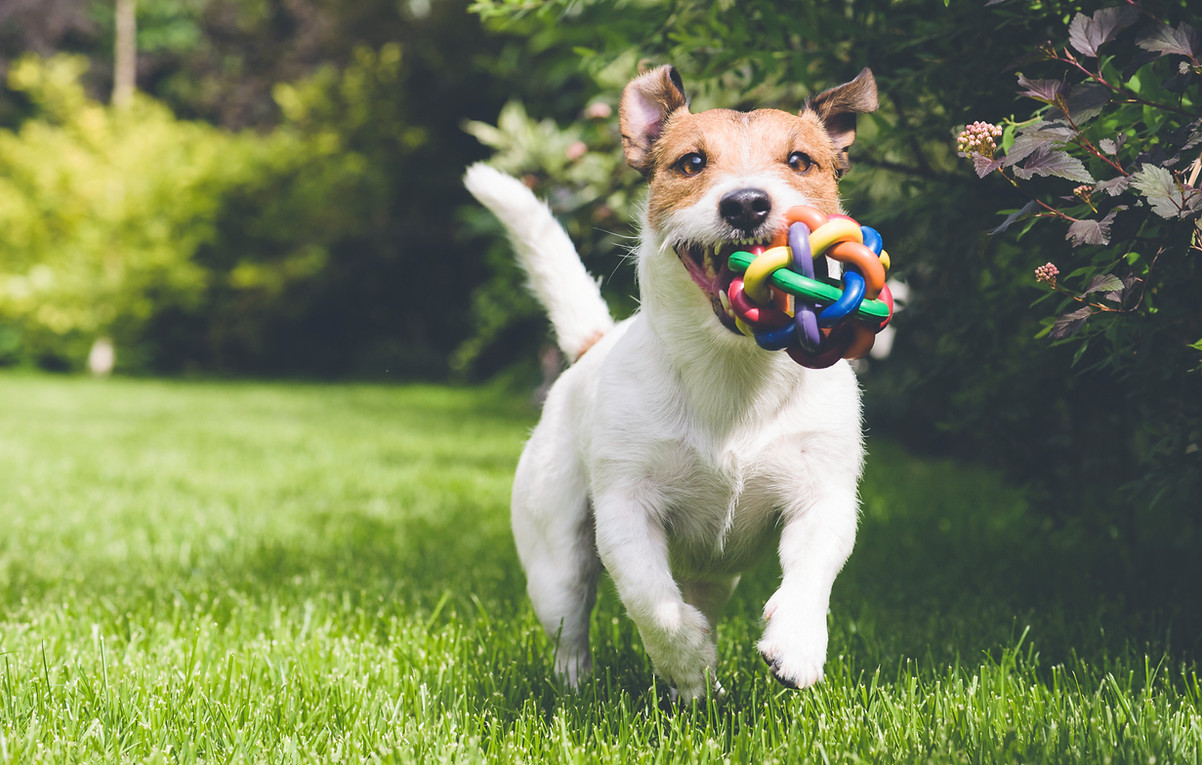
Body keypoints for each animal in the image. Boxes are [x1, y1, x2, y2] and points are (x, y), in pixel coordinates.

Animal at [463, 65, 879, 697]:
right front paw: (685, 658)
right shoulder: (625, 509)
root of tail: (592, 345)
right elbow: (650, 600)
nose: (747, 203)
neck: (731, 369)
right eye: (691, 162)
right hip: (555, 557)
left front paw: (797, 644)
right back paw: (592, 683)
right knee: (571, 622)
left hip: (717, 574)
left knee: (703, 597)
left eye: (800, 160)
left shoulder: (823, 493)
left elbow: (812, 570)